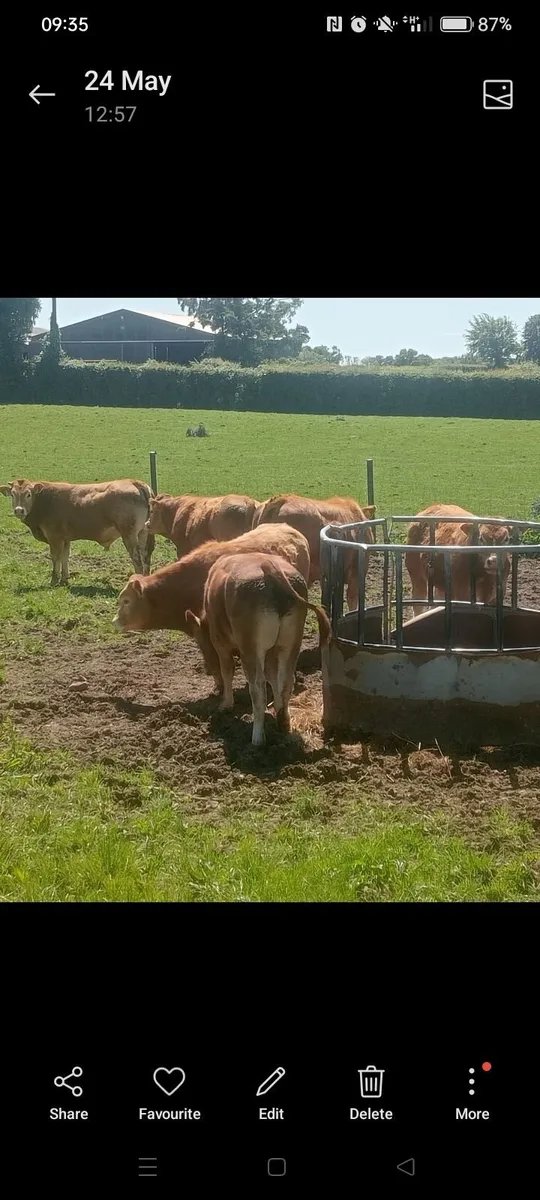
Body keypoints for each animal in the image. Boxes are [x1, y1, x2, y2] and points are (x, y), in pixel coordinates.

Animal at [0, 478, 155, 585]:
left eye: (28, 494)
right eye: (12, 494)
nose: (19, 510)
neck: (45, 501)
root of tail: (135, 482)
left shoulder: (54, 538)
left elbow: (55, 557)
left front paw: (54, 580)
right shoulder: (65, 539)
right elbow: (65, 557)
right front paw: (64, 579)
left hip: (129, 535)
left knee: (137, 560)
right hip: (142, 534)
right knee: (145, 558)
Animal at [185, 552, 332, 746]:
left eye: (200, 644)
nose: (207, 670)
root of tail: (269, 566)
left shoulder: (221, 644)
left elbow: (227, 671)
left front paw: (226, 704)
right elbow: (273, 677)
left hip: (251, 650)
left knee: (258, 689)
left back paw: (257, 738)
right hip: (290, 645)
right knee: (286, 681)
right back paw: (283, 722)